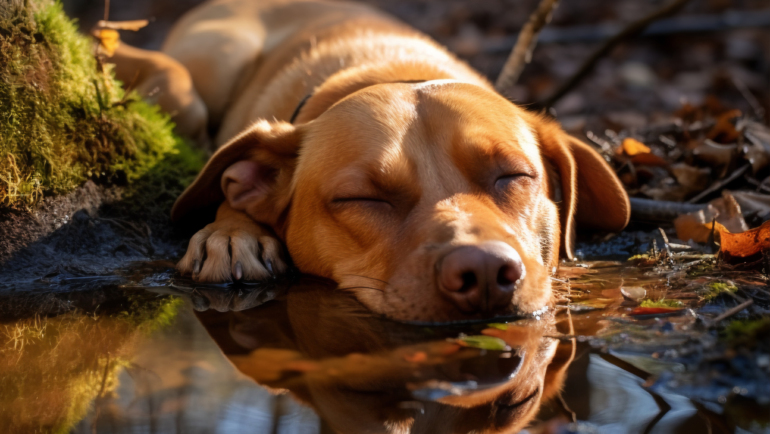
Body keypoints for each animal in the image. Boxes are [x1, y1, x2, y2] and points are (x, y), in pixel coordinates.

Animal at [114, 0, 632, 322]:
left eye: (514, 175)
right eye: (361, 198)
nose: (484, 270)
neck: (394, 71)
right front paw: (231, 232)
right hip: (213, 62)